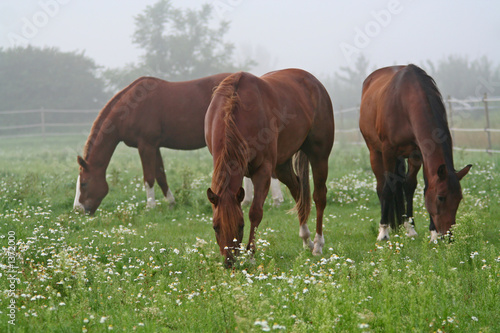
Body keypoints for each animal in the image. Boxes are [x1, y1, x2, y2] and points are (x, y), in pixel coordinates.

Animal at [75, 73, 284, 214]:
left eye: (84, 183)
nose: (79, 209)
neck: (131, 108)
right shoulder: (154, 146)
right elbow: (161, 175)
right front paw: (171, 202)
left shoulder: (146, 146)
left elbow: (149, 177)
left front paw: (150, 206)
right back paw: (247, 200)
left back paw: (276, 200)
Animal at [205, 68, 334, 266]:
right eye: (215, 227)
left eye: (241, 226)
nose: (229, 262)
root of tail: (314, 83)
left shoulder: (263, 171)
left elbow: (255, 212)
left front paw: (251, 255)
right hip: (281, 166)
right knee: (298, 191)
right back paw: (306, 239)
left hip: (319, 156)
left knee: (319, 196)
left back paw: (318, 244)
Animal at [360, 64, 468, 241]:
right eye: (441, 197)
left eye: (459, 199)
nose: (448, 236)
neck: (406, 101)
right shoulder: (388, 151)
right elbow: (388, 187)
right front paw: (383, 231)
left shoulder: (418, 153)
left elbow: (416, 186)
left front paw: (427, 232)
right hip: (375, 152)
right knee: (381, 185)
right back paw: (388, 226)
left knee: (401, 185)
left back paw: (401, 225)